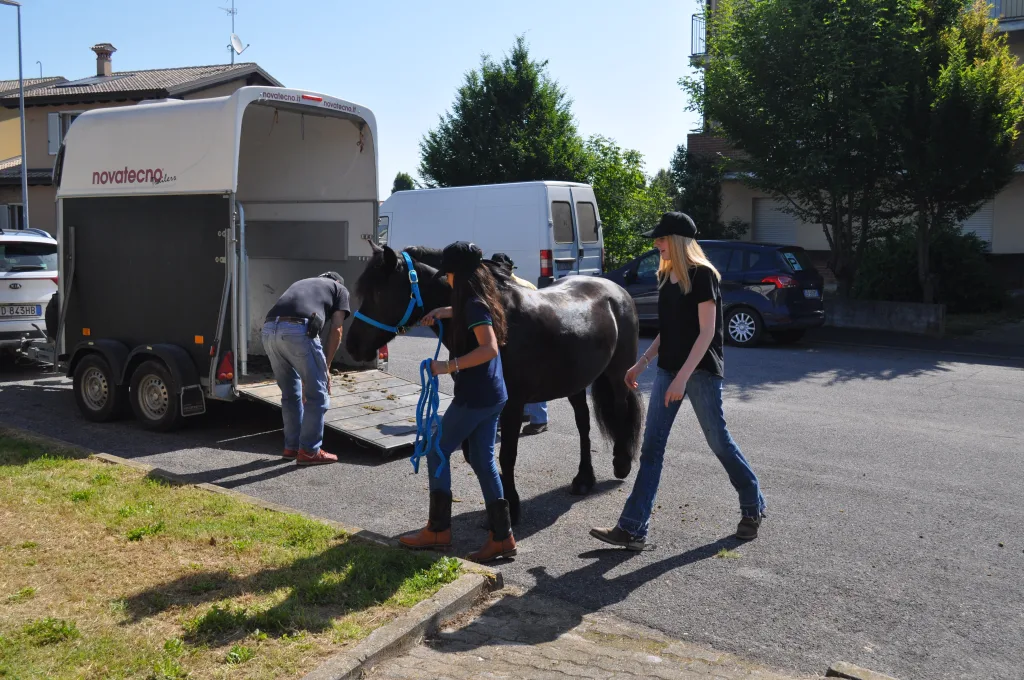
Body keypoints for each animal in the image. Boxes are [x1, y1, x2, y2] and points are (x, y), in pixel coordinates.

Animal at [348, 244, 643, 524]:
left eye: (377, 293)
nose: (353, 345)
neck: (498, 319)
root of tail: (616, 290)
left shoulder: (512, 404)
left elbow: (506, 456)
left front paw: (511, 506)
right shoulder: (477, 401)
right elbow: (474, 454)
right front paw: (497, 503)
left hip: (618, 374)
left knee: (620, 410)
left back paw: (621, 463)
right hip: (576, 382)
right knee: (583, 424)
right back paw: (584, 479)